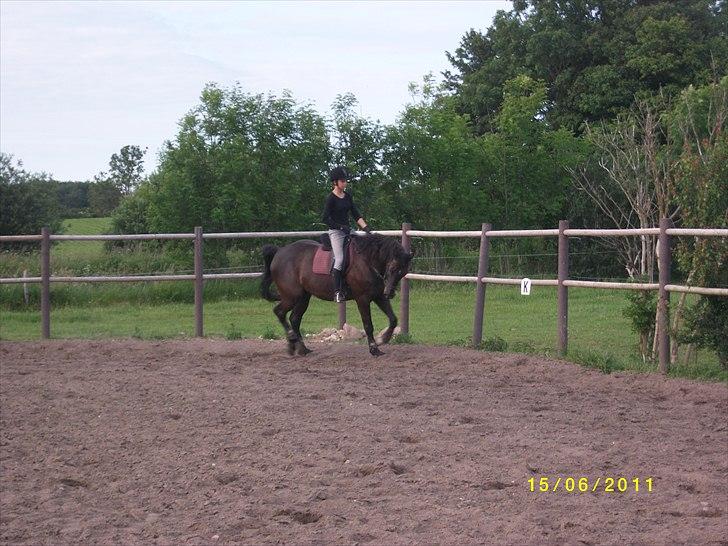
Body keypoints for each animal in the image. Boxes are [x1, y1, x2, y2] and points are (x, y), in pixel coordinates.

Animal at [260, 232, 416, 354]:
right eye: (393, 268)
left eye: (403, 273)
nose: (389, 293)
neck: (367, 261)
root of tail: (279, 252)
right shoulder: (363, 299)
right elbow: (368, 325)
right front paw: (374, 348)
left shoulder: (378, 297)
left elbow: (393, 319)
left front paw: (382, 340)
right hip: (292, 296)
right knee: (280, 312)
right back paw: (292, 340)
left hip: (303, 298)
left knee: (294, 319)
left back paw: (300, 348)